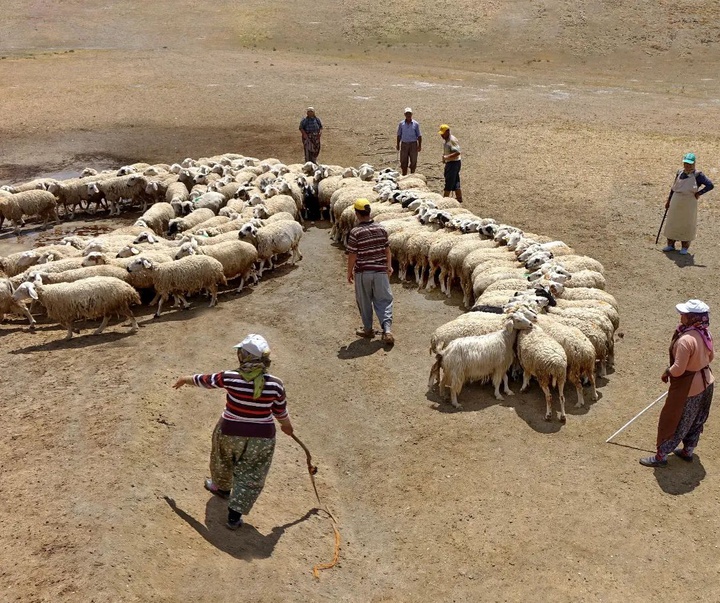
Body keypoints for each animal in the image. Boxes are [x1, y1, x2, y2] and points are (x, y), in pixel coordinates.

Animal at [11, 278, 139, 342]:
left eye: (22, 290)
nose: (12, 297)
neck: (47, 293)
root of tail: (128, 287)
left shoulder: (63, 312)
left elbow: (66, 325)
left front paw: (69, 335)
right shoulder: (65, 312)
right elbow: (67, 324)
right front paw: (75, 331)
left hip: (117, 303)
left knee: (130, 314)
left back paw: (134, 328)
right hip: (109, 304)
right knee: (107, 317)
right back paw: (98, 330)